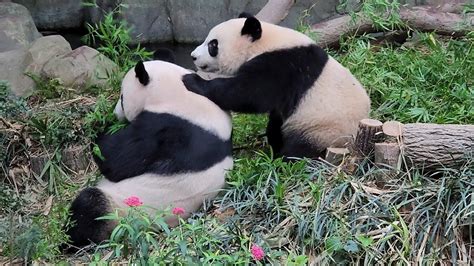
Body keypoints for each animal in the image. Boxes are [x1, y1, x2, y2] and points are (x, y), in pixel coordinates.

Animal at [65, 59, 233, 248]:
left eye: (122, 98)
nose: (116, 114)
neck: (179, 92)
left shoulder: (167, 126)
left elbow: (114, 160)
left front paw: (101, 127)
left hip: (125, 211)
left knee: (90, 206)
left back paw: (68, 241)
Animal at [183, 13, 372, 160]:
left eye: (212, 45)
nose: (193, 56)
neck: (265, 42)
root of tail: (353, 144)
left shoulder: (281, 65)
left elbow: (249, 94)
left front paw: (192, 80)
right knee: (277, 125)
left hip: (323, 129)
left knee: (301, 147)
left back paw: (284, 159)